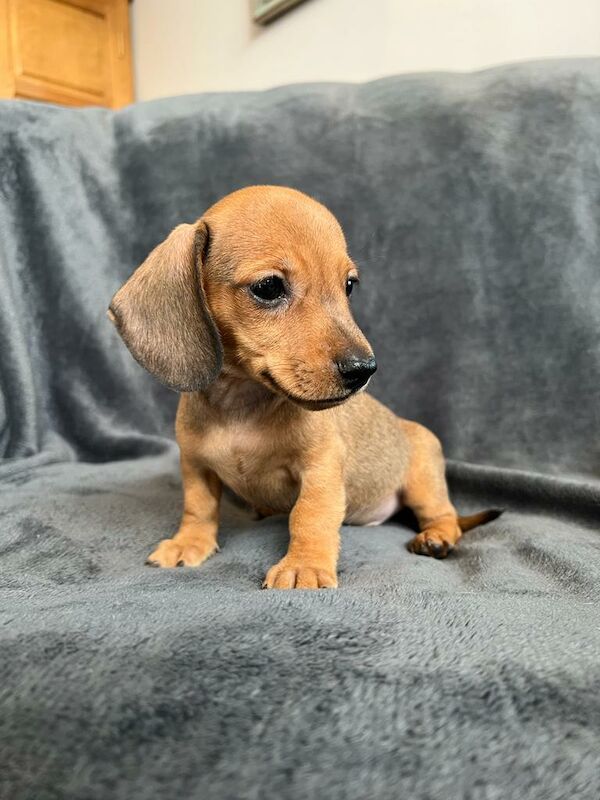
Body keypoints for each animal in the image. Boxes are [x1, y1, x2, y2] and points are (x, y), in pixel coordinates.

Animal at [109, 186, 502, 588]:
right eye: (269, 287)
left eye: (349, 285)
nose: (364, 370)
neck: (241, 406)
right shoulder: (196, 466)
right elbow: (198, 507)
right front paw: (189, 542)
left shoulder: (320, 468)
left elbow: (309, 515)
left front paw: (305, 565)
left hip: (424, 479)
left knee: (446, 516)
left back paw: (436, 537)